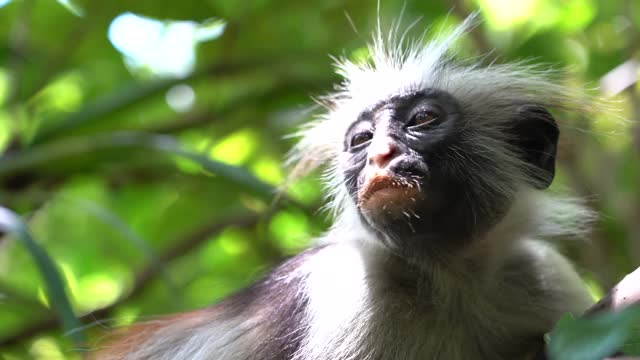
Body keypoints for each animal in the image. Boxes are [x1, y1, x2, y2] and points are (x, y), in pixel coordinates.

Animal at [94, 16, 596, 360]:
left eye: (422, 119)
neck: (452, 278)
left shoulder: (546, 280)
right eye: (361, 141)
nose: (380, 156)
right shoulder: (351, 292)